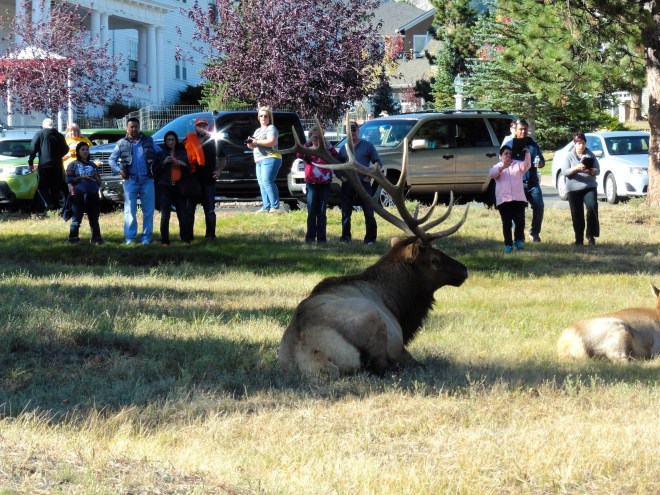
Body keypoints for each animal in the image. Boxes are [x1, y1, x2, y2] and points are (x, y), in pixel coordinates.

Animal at [278, 117, 469, 377]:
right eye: (435, 260)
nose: (464, 270)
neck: (399, 304)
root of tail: (314, 357)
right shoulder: (398, 342)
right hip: (371, 319)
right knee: (382, 366)